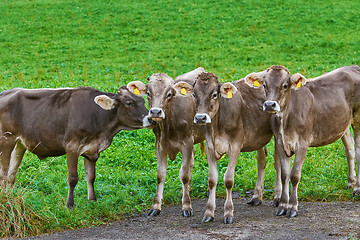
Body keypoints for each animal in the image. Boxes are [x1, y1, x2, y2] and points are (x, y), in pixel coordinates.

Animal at [0, 86, 148, 208]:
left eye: (143, 100)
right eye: (129, 103)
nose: (150, 117)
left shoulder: (92, 150)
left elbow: (91, 176)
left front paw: (92, 200)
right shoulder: (72, 146)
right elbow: (73, 178)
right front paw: (70, 204)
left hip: (19, 144)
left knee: (11, 175)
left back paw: (9, 197)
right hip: (6, 139)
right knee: (3, 174)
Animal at [126, 68, 205, 218]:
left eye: (169, 94)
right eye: (148, 93)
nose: (155, 112)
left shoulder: (187, 143)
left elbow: (184, 175)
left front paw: (186, 206)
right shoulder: (159, 145)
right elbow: (160, 175)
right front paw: (156, 206)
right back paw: (185, 191)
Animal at [177, 72, 282, 224]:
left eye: (214, 94)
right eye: (194, 95)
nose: (201, 118)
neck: (217, 126)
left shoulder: (236, 146)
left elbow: (228, 180)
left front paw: (228, 213)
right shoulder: (210, 147)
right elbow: (212, 180)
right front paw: (209, 212)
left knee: (278, 163)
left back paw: (278, 197)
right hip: (259, 137)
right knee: (261, 161)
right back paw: (256, 197)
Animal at [246, 65, 360, 218]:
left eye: (285, 85)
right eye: (264, 85)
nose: (270, 105)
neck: (285, 120)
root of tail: (353, 67)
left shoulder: (303, 144)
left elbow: (294, 175)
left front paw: (293, 207)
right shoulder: (281, 143)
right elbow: (284, 175)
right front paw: (283, 205)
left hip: (358, 119)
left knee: (358, 151)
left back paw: (357, 189)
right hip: (342, 123)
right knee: (350, 149)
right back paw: (350, 182)